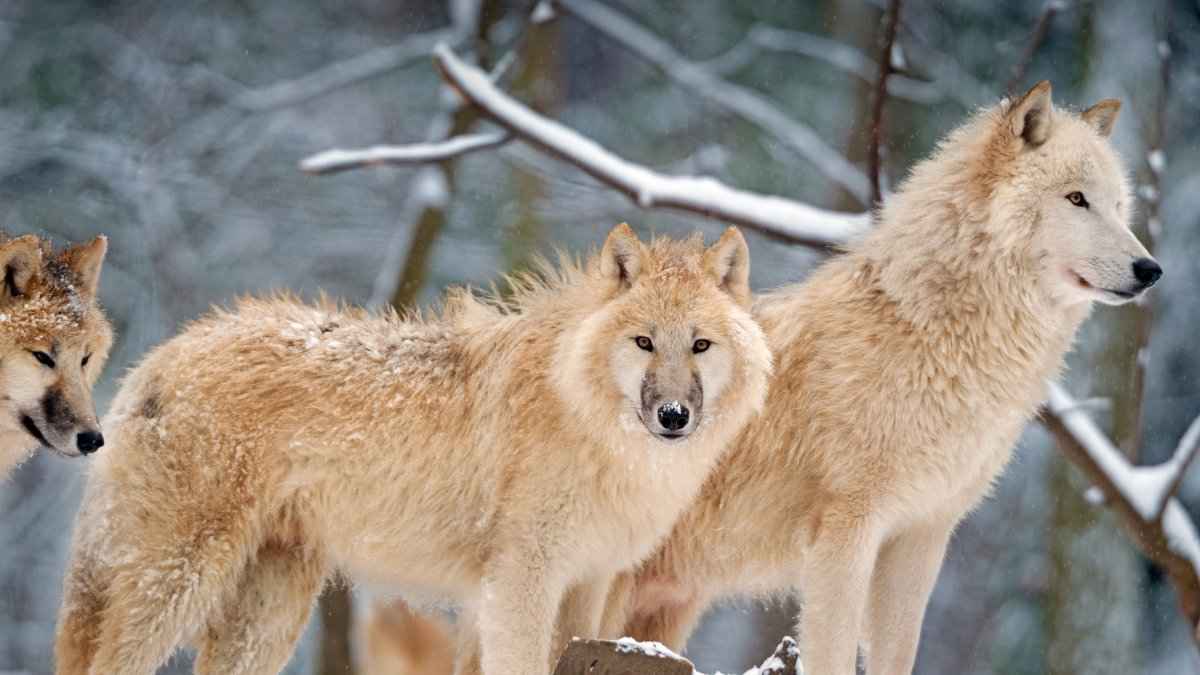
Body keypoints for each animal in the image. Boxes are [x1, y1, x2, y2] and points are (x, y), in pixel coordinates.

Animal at [54, 223, 768, 667]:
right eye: (644, 342)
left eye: (700, 345)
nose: (673, 416)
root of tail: (157, 358)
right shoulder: (521, 581)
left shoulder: (589, 584)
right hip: (177, 582)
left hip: (268, 616)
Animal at [600, 82, 1161, 672]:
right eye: (1076, 199)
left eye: (1119, 207)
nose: (1151, 271)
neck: (933, 338)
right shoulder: (846, 532)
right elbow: (833, 655)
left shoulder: (922, 536)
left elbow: (897, 654)